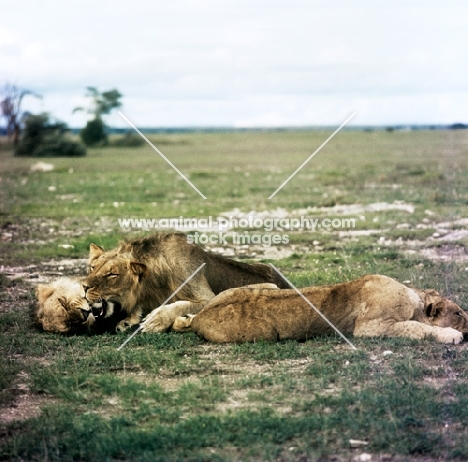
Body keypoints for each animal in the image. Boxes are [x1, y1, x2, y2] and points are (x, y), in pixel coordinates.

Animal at [83, 233, 288, 334]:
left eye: (112, 274)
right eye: (92, 267)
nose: (84, 287)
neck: (154, 282)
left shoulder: (207, 296)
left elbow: (180, 304)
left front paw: (155, 320)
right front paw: (128, 320)